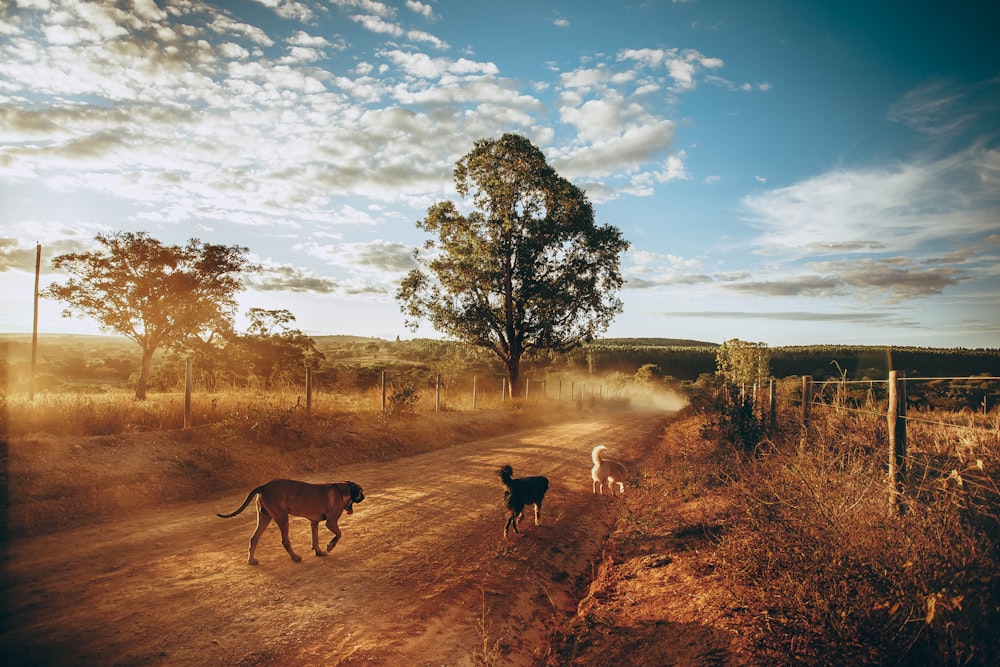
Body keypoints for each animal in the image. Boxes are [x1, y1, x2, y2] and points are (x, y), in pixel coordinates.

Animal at [217, 478, 366, 568]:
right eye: (361, 492)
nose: (364, 496)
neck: (341, 490)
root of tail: (265, 486)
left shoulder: (314, 522)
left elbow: (315, 539)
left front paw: (318, 551)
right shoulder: (331, 522)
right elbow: (339, 534)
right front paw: (330, 546)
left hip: (264, 518)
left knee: (254, 538)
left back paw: (251, 560)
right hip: (282, 518)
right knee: (285, 541)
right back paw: (295, 557)